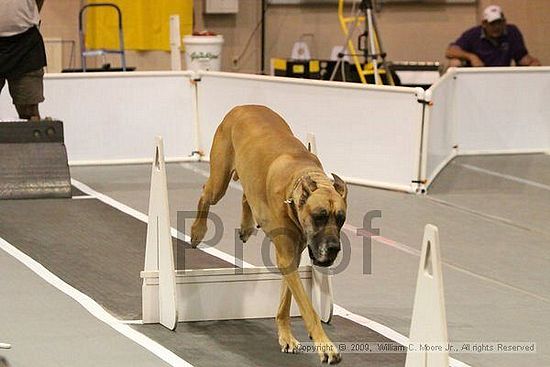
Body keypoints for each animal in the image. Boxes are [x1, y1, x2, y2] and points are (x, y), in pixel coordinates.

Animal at [192, 105, 348, 364]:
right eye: (319, 216)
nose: (334, 248)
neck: (296, 185)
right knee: (205, 193)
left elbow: (286, 300)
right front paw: (324, 344)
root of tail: (241, 107)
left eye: (341, 219)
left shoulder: (292, 256)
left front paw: (286, 336)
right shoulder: (286, 256)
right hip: (219, 181)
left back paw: (246, 225)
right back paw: (197, 230)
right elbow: (308, 308)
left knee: (247, 194)